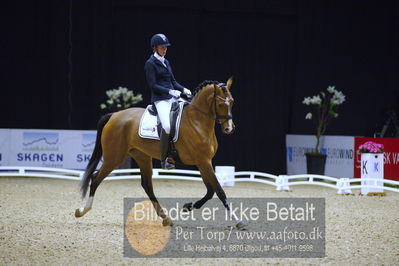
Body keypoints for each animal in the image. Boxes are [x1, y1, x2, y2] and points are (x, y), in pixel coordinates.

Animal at [74, 76, 245, 229]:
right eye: (221, 104)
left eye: (232, 101)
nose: (229, 129)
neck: (197, 122)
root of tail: (114, 115)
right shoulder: (203, 161)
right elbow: (219, 191)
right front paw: (238, 221)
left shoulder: (204, 162)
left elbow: (210, 191)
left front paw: (188, 206)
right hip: (114, 157)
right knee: (96, 178)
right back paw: (82, 210)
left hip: (141, 156)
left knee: (147, 186)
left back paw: (166, 219)